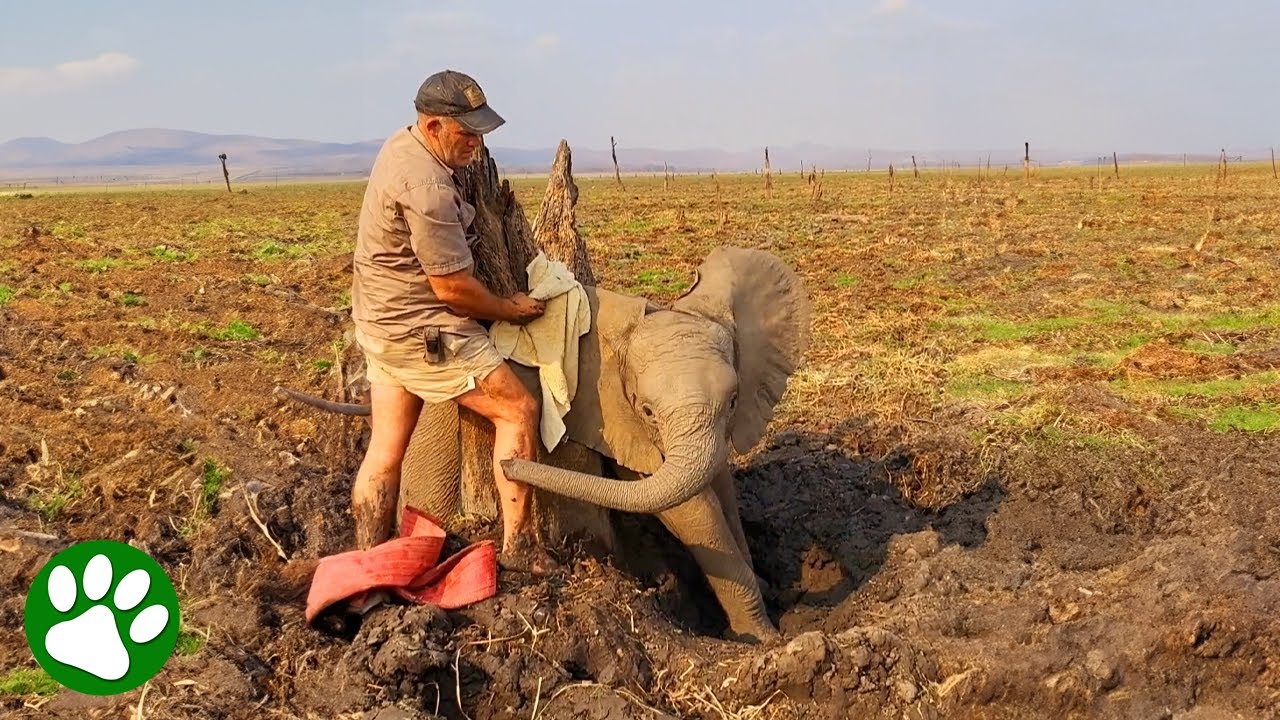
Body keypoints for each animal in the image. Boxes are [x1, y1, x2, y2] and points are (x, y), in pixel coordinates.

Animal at [278, 246, 811, 643]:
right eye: (646, 410)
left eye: (736, 398)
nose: (512, 463)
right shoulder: (611, 415)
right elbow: (690, 511)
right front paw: (762, 638)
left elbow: (721, 490)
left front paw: (767, 595)